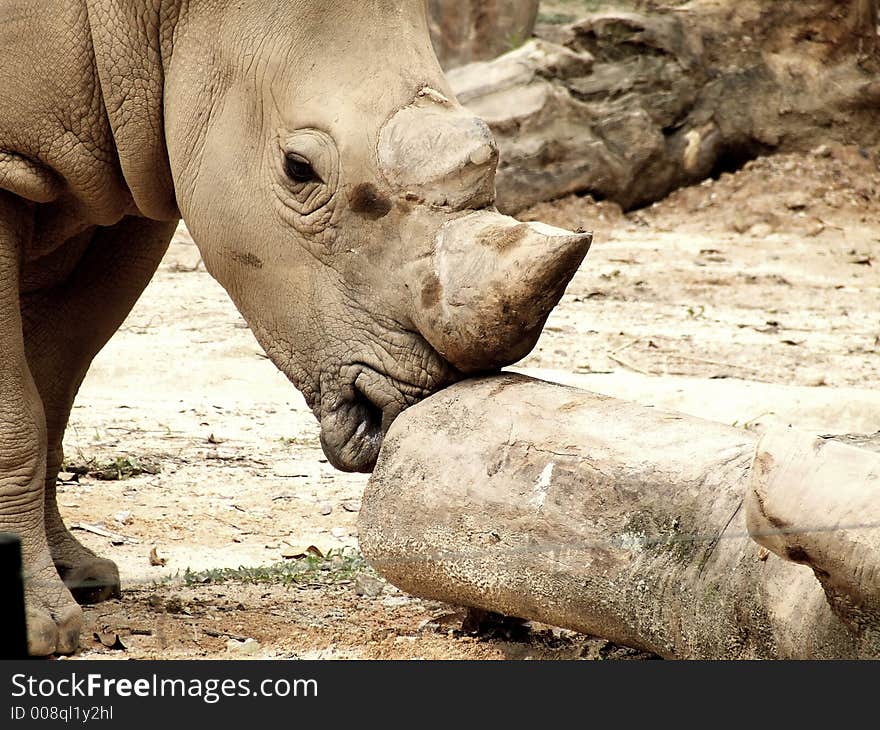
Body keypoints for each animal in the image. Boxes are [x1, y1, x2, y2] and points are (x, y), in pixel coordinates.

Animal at [1, 0, 592, 652]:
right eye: (298, 168)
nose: (407, 404)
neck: (162, 20)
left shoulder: (124, 180)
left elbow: (55, 385)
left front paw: (82, 581)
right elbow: (20, 409)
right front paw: (39, 627)